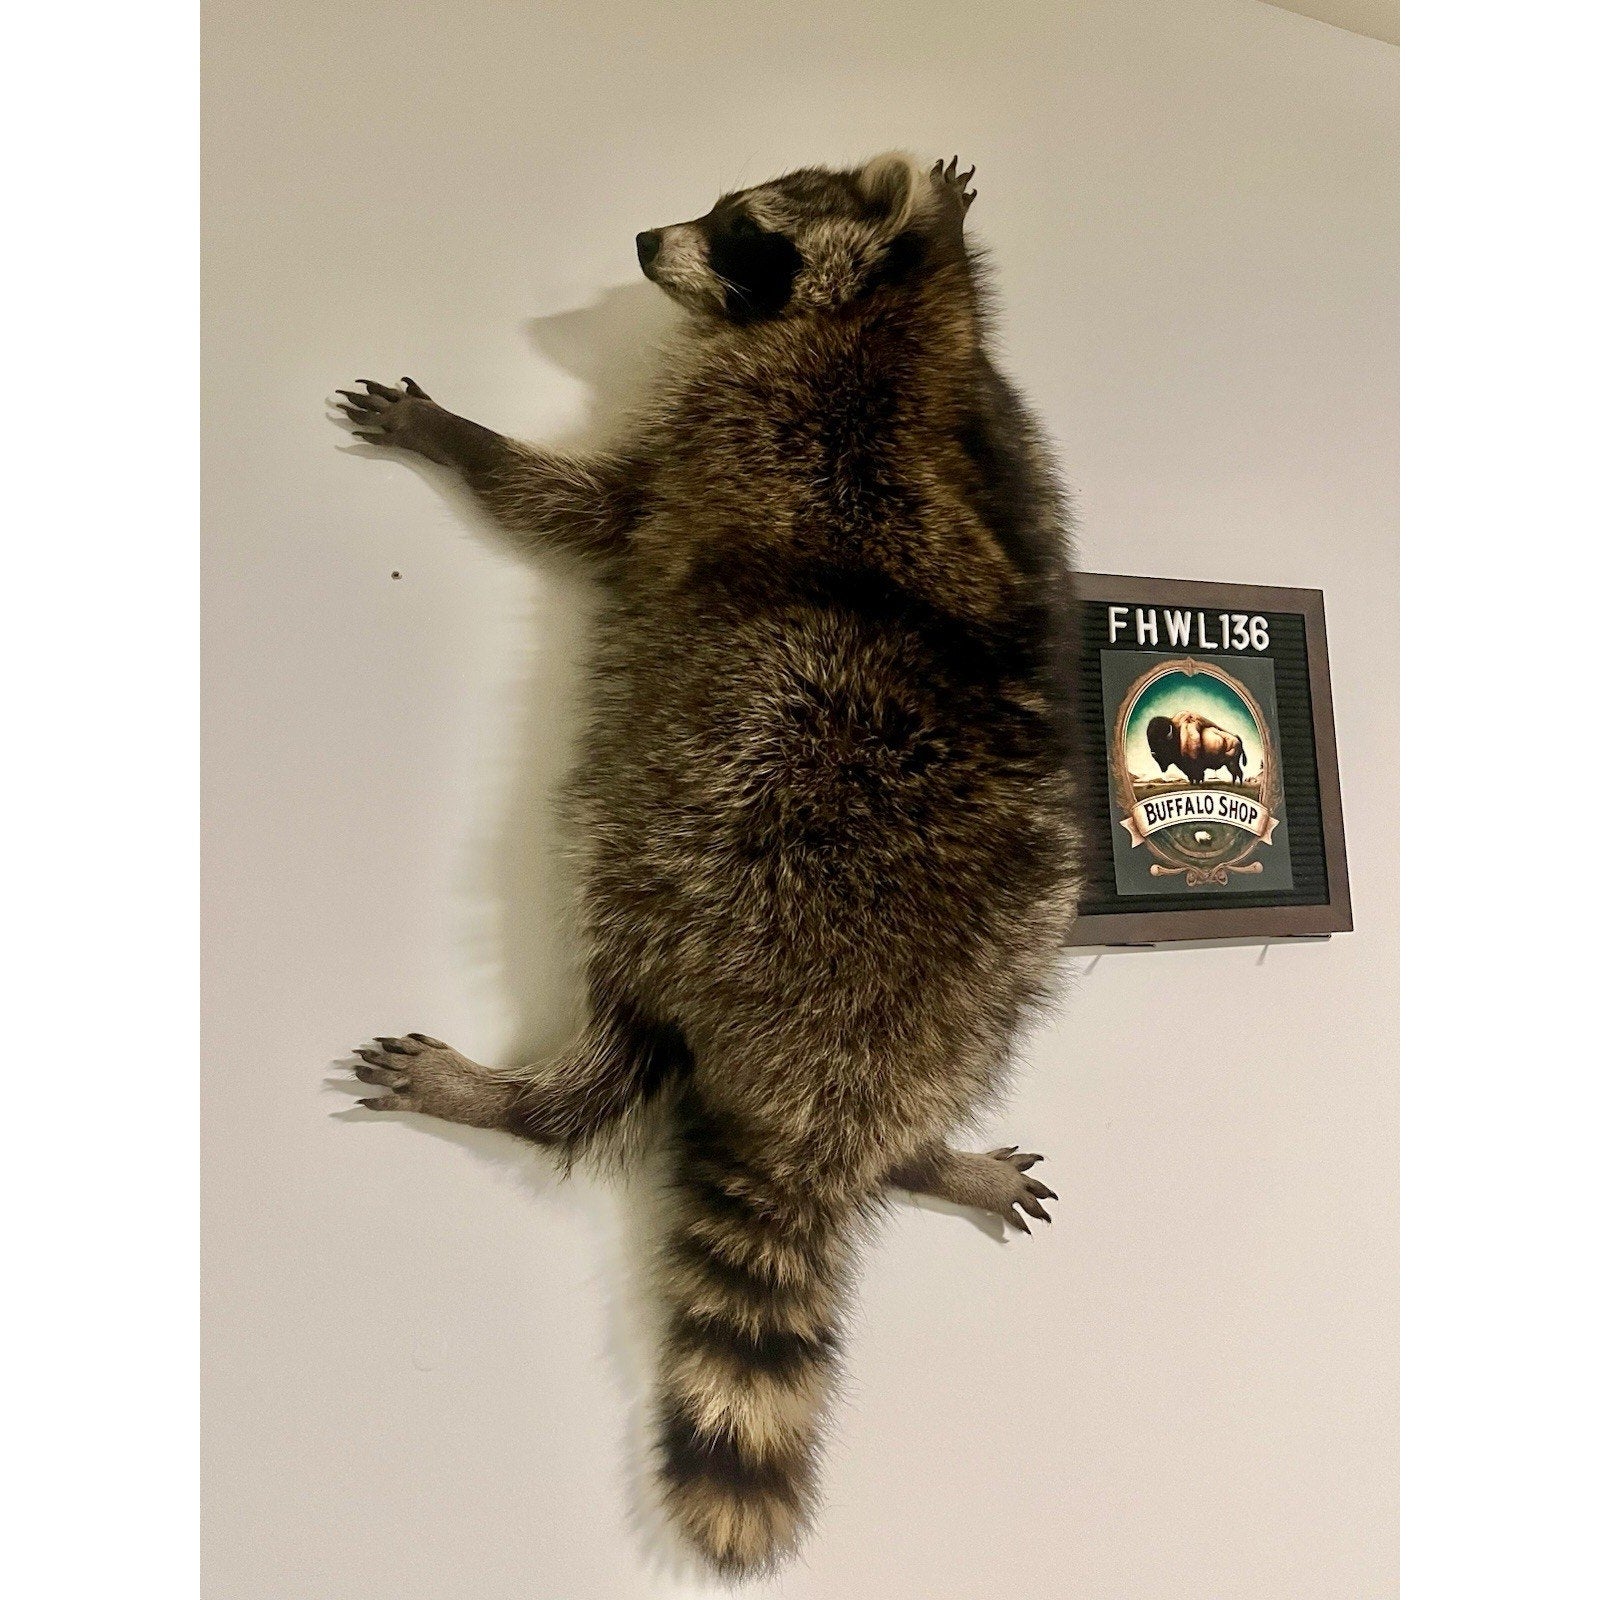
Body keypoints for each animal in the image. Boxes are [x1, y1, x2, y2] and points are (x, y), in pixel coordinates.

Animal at [335, 153, 1083, 1576]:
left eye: (740, 230)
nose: (640, 239)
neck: (899, 326)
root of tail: (821, 1111)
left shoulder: (722, 424)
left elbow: (585, 506)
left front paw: (465, 438)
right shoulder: (1009, 433)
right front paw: (951, 212)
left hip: (710, 835)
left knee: (619, 983)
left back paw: (525, 1091)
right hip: (1005, 959)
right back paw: (921, 1157)